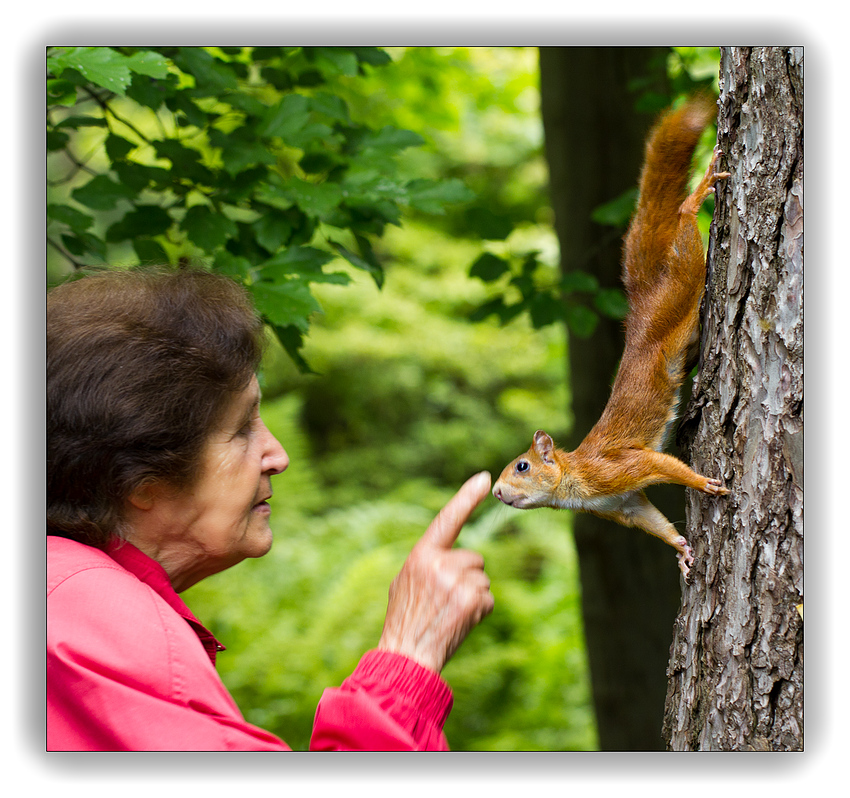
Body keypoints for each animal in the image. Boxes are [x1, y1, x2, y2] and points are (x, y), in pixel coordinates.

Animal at [490, 97, 728, 580]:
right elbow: (656, 522)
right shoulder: (624, 504)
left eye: (522, 465)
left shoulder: (619, 468)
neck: (574, 487)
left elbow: (663, 464)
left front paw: (703, 482)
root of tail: (640, 309)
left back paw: (698, 196)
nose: (496, 493)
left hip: (679, 288)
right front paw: (682, 550)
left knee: (683, 230)